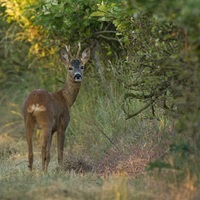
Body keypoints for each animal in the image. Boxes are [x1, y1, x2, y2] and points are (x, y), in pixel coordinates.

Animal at [22, 43, 90, 171]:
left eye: (82, 66)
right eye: (70, 68)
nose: (78, 76)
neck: (66, 99)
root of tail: (34, 103)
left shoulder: (53, 129)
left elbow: (49, 155)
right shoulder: (62, 125)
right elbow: (59, 152)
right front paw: (61, 169)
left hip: (28, 120)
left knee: (30, 151)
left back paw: (32, 172)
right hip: (46, 122)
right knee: (42, 148)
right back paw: (42, 171)